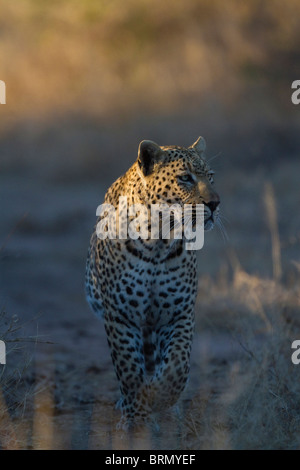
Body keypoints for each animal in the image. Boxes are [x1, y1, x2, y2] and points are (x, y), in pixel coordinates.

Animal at [85, 136, 219, 430]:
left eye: (211, 177)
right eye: (185, 178)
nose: (215, 203)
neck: (157, 239)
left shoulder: (179, 313)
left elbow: (177, 365)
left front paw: (161, 398)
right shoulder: (121, 317)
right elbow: (129, 371)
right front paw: (136, 419)